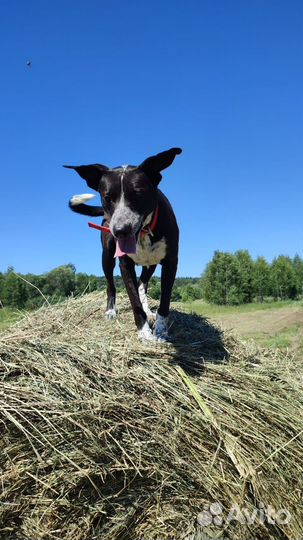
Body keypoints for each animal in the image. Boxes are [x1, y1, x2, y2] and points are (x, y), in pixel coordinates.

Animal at [65, 148, 182, 342]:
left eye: (138, 193)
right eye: (107, 197)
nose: (120, 230)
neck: (144, 232)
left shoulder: (171, 262)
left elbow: (164, 301)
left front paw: (160, 331)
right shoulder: (125, 264)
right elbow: (134, 300)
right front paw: (144, 332)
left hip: (150, 264)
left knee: (142, 283)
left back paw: (149, 310)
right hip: (107, 257)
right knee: (111, 286)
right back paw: (111, 311)